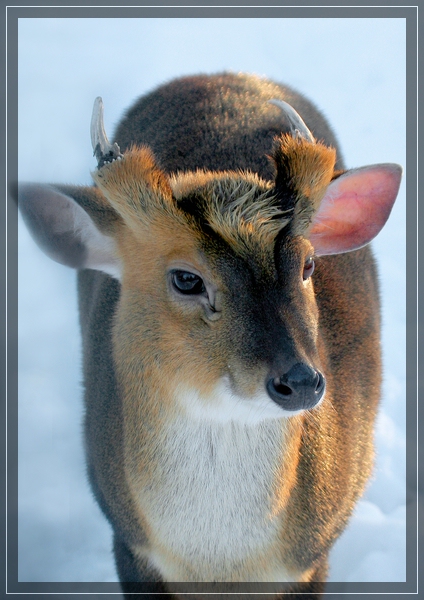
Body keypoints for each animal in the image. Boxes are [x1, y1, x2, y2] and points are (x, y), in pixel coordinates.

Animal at [15, 72, 400, 596]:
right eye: (186, 279)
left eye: (308, 264)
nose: (300, 381)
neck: (221, 564)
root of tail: (216, 76)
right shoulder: (131, 542)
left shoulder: (310, 557)